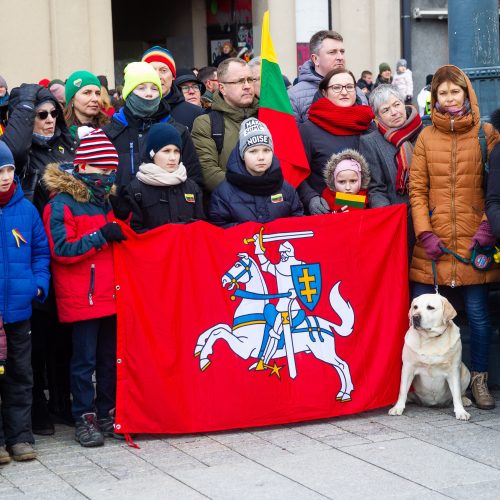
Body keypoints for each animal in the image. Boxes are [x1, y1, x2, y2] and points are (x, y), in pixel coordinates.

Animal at [193, 254, 354, 402]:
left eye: (238, 265)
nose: (224, 280)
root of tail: (327, 324)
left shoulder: (243, 348)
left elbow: (218, 333)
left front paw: (203, 359)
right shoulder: (235, 335)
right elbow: (217, 327)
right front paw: (198, 347)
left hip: (324, 353)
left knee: (343, 365)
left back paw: (346, 394)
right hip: (323, 353)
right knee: (339, 367)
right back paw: (341, 393)